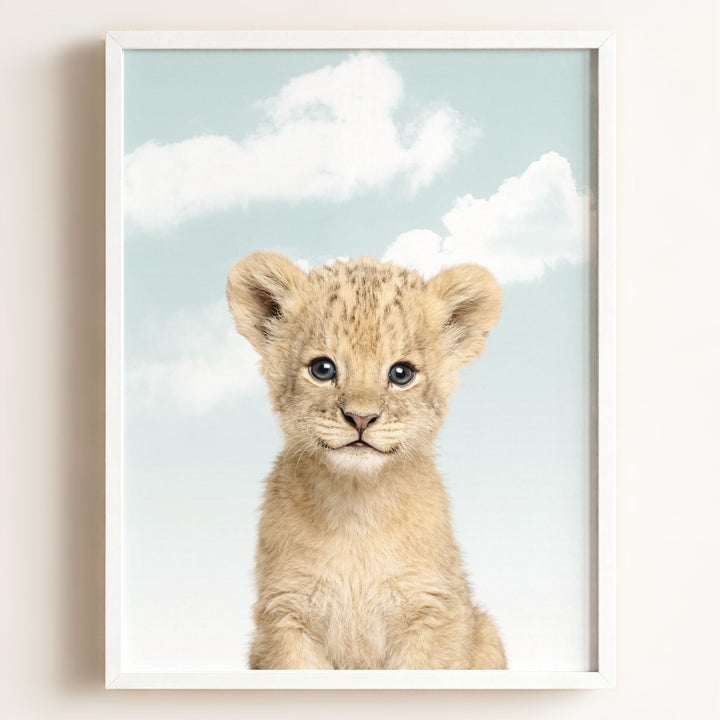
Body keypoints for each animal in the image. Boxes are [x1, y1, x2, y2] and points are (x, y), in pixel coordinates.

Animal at [227, 252, 506, 670]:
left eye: (401, 373)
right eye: (323, 369)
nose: (360, 418)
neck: (356, 510)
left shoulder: (435, 612)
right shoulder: (285, 615)